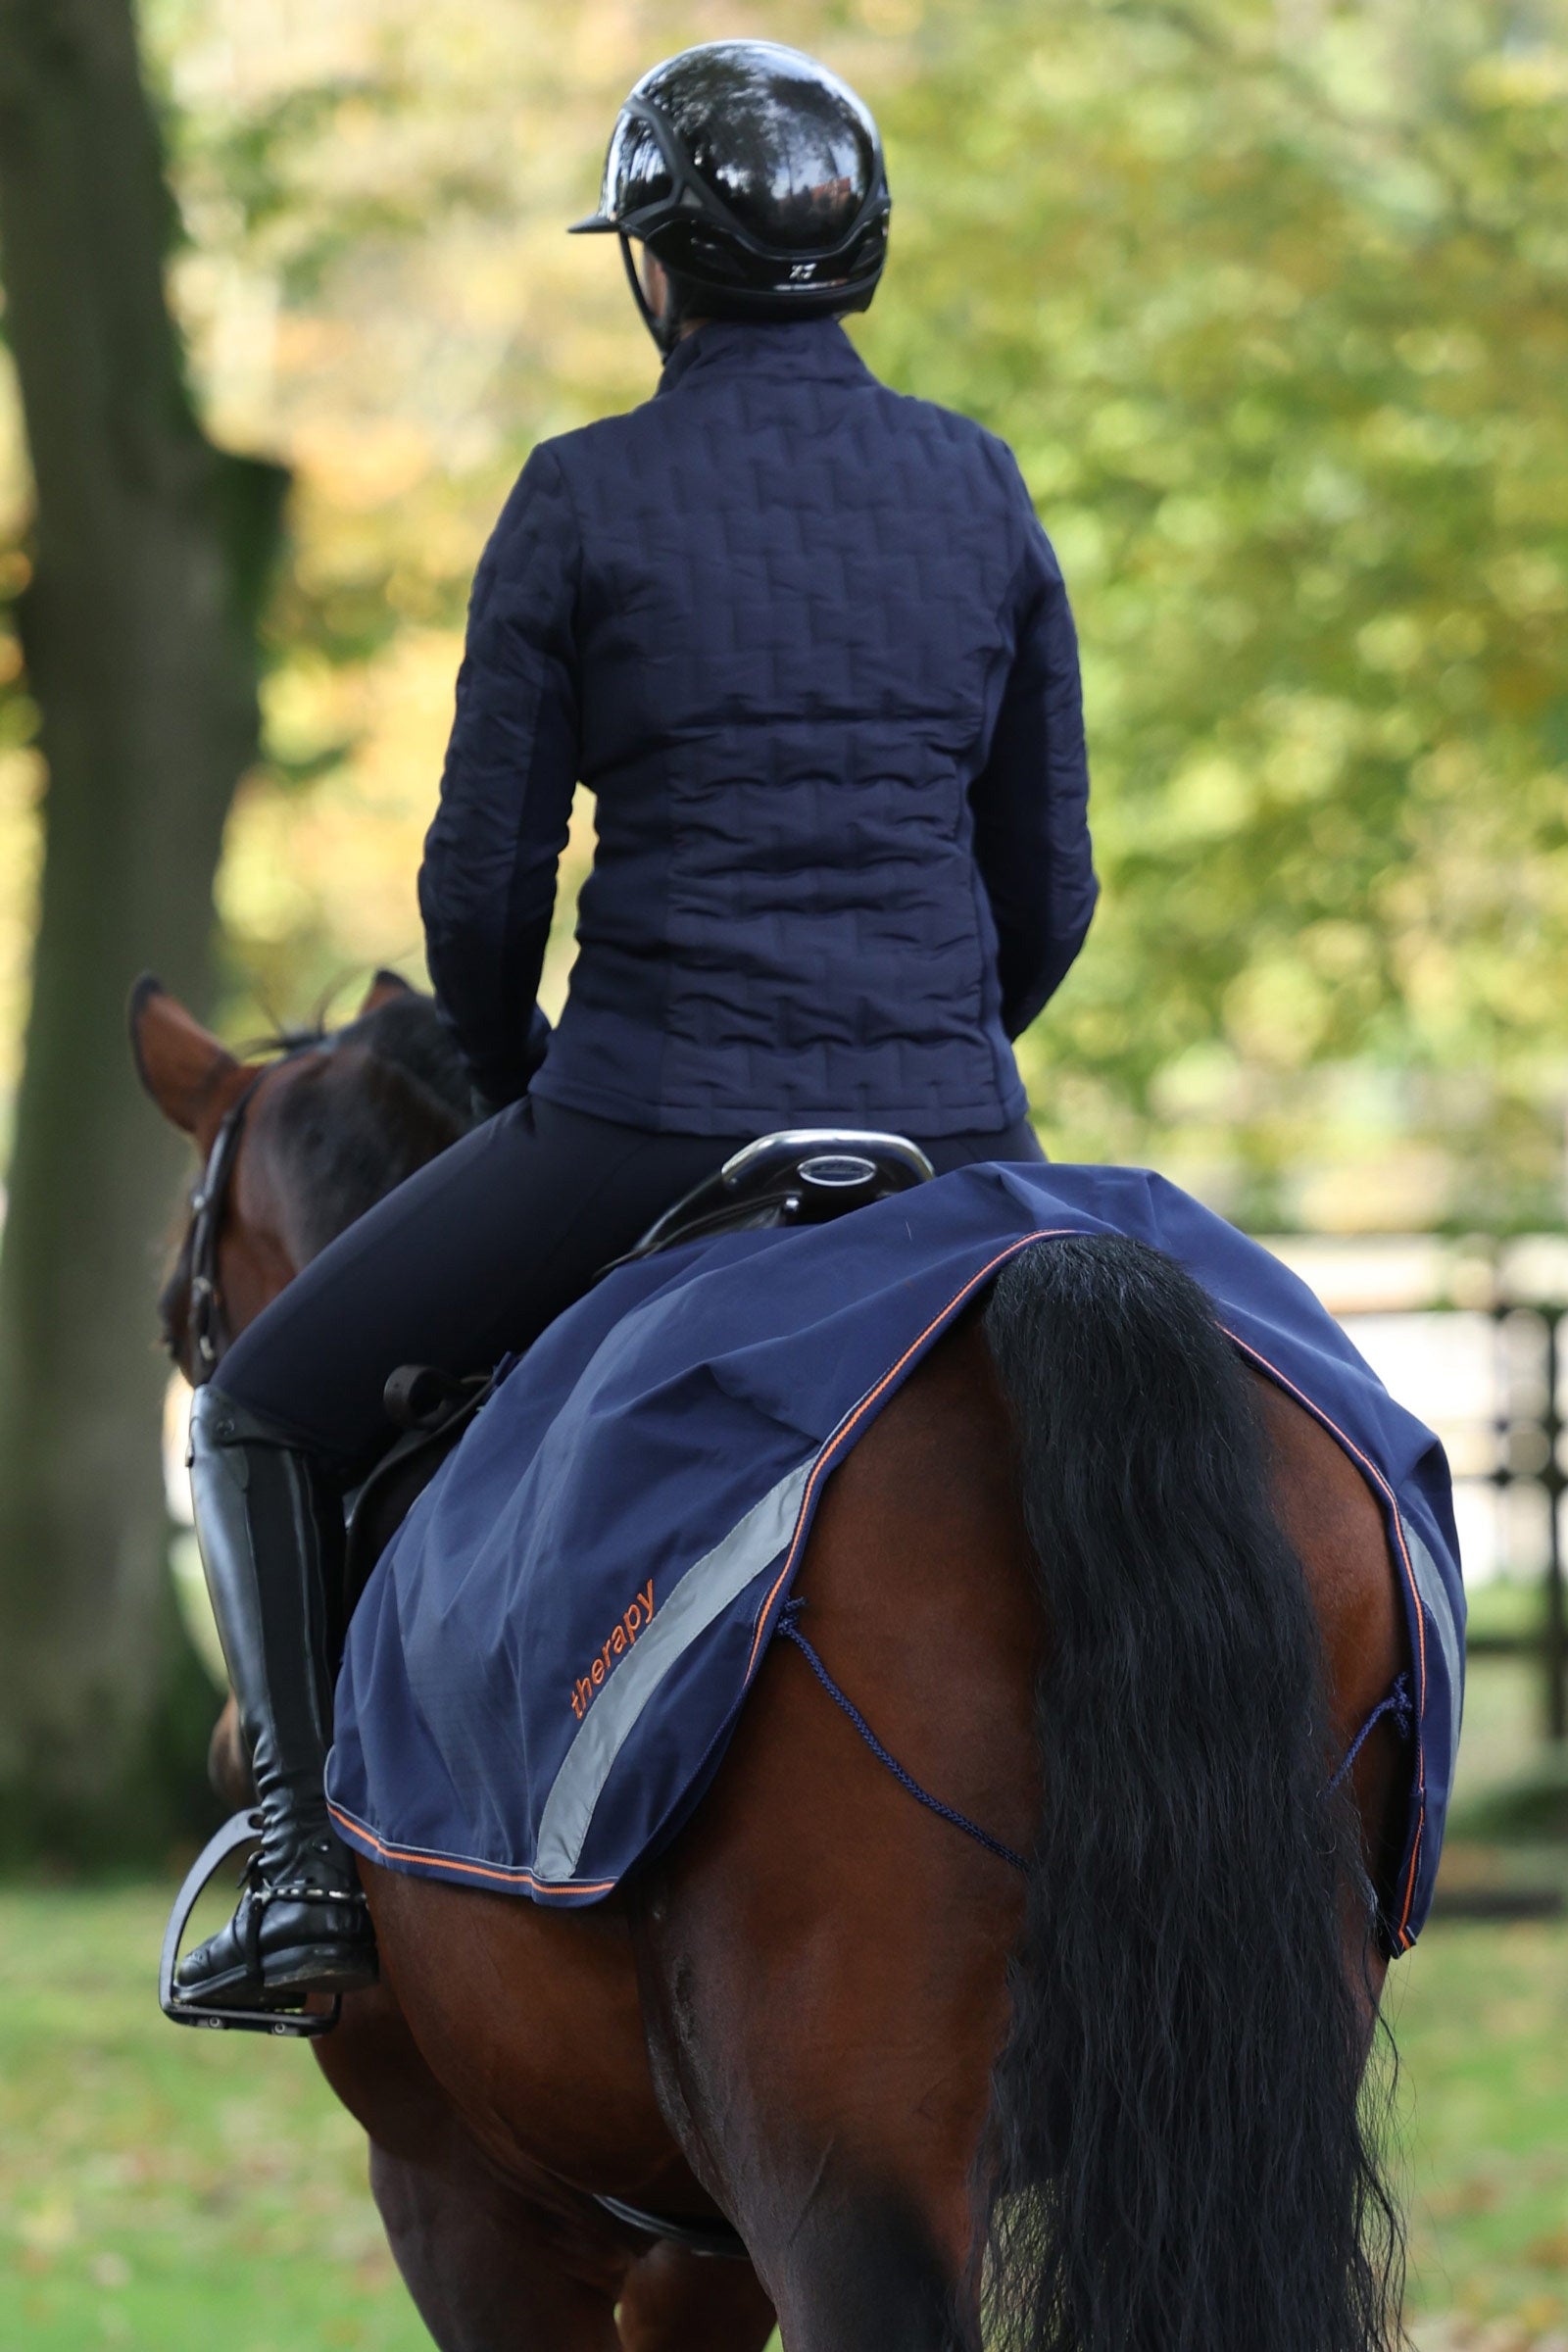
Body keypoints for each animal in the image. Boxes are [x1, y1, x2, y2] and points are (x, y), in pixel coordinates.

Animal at [131, 968, 1411, 2352]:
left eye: (178, 1323)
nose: (227, 1756)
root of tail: (1048, 1259)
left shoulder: (457, 2199)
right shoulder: (703, 2246)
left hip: (843, 2183)